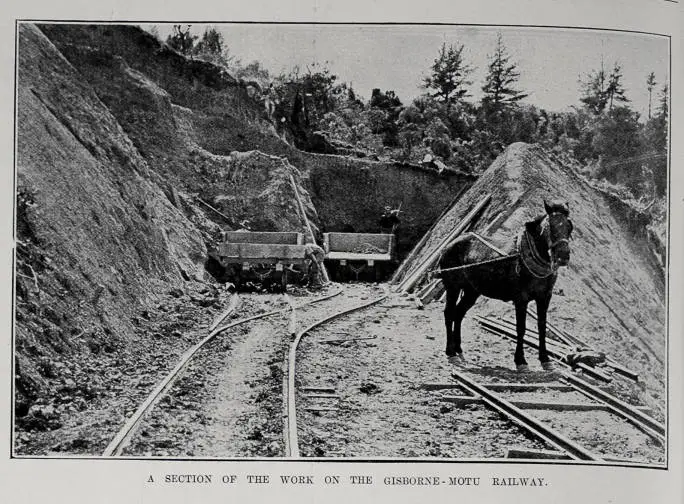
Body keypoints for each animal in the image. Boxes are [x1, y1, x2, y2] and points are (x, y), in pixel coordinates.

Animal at [436, 200, 576, 370]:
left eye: (569, 226)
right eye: (550, 226)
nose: (563, 256)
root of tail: (448, 245)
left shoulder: (544, 297)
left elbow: (542, 326)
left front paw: (545, 358)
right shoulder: (521, 299)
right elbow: (521, 328)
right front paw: (520, 360)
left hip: (472, 291)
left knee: (459, 313)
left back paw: (458, 348)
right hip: (453, 287)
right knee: (449, 313)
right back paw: (450, 352)